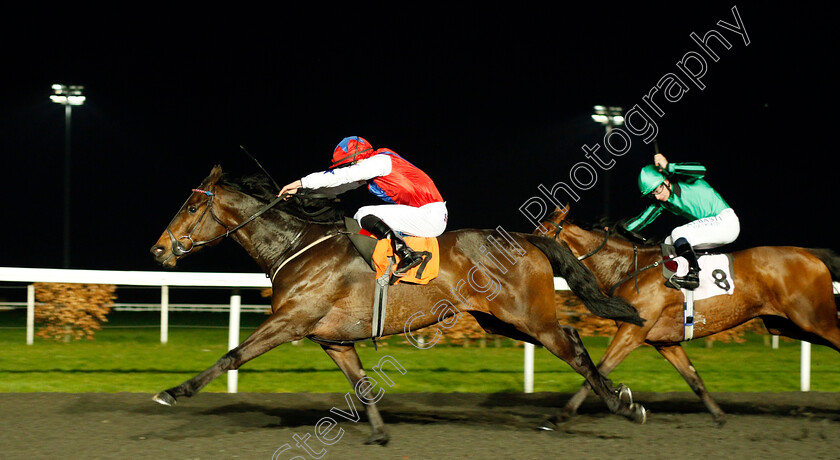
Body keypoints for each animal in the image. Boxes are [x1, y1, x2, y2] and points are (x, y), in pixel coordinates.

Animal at [151, 165, 648, 442]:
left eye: (191, 208)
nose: (158, 251)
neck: (297, 245)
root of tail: (527, 237)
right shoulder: (332, 339)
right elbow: (362, 385)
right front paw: (379, 433)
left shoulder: (290, 321)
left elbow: (233, 355)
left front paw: (173, 392)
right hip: (498, 320)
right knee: (572, 340)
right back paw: (616, 397)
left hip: (528, 315)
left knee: (571, 346)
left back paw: (621, 405)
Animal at [540, 207, 840, 426]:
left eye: (542, 231)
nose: (529, 254)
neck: (629, 268)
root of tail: (810, 255)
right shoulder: (665, 342)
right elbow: (694, 379)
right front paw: (719, 416)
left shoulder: (632, 331)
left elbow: (597, 369)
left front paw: (562, 414)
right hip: (786, 324)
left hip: (814, 319)